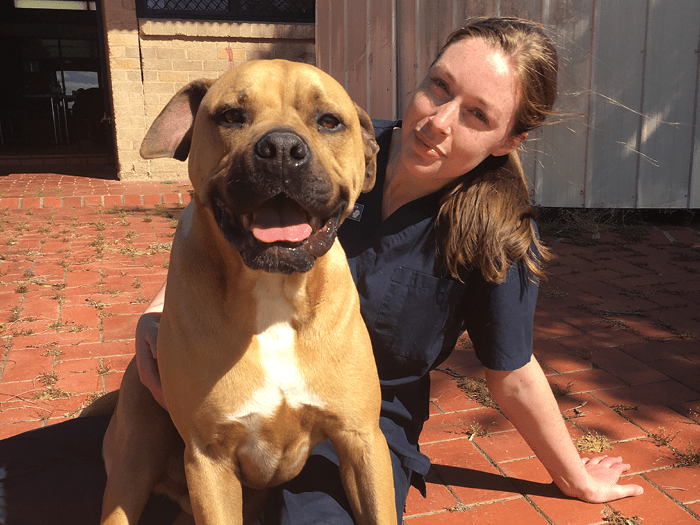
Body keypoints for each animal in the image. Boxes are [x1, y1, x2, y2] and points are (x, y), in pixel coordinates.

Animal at [98, 59, 397, 525]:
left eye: (329, 121)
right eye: (231, 116)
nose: (281, 149)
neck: (273, 295)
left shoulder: (362, 440)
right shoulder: (209, 460)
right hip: (132, 468)